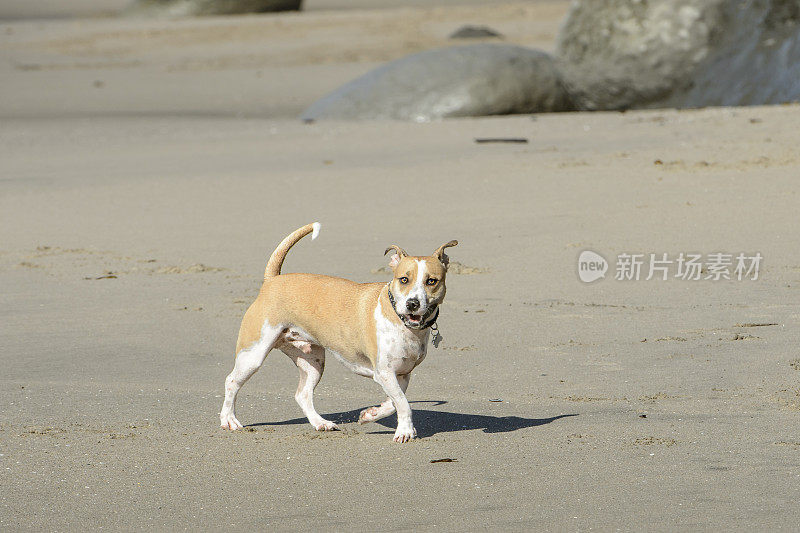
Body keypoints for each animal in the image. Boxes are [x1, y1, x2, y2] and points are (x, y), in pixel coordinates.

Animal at [219, 222, 456, 442]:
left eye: (431, 281)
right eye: (404, 279)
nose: (412, 304)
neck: (402, 323)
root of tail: (272, 280)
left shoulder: (401, 374)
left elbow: (394, 402)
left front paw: (371, 414)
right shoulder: (385, 372)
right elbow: (403, 404)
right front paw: (405, 431)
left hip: (313, 361)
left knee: (302, 394)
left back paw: (320, 423)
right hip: (253, 355)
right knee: (231, 381)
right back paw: (229, 419)